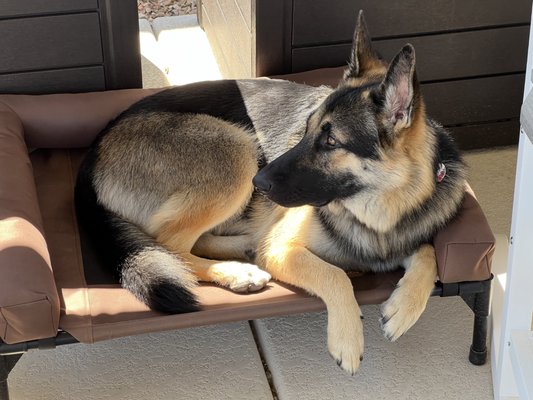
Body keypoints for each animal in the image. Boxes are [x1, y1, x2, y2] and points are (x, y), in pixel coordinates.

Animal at [74, 12, 462, 376]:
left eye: (331, 141)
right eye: (306, 130)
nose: (258, 183)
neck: (381, 209)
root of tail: (92, 152)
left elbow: (428, 252)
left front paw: (404, 309)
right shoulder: (281, 249)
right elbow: (333, 275)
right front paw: (348, 339)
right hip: (237, 147)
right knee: (169, 244)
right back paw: (237, 272)